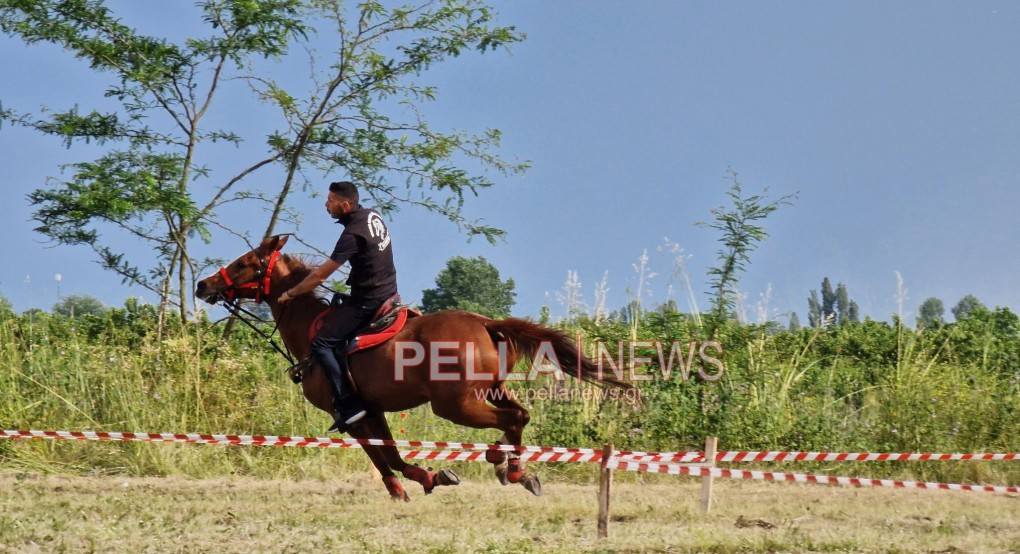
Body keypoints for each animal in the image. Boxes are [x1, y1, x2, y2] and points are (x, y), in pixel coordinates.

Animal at [192, 235, 628, 501]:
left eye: (246, 262)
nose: (203, 285)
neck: (310, 329)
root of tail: (486, 323)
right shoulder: (374, 410)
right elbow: (391, 451)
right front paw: (428, 477)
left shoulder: (349, 415)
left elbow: (380, 455)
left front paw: (403, 486)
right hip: (488, 391)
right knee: (519, 415)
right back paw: (510, 466)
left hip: (454, 405)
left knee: (512, 419)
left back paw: (507, 466)